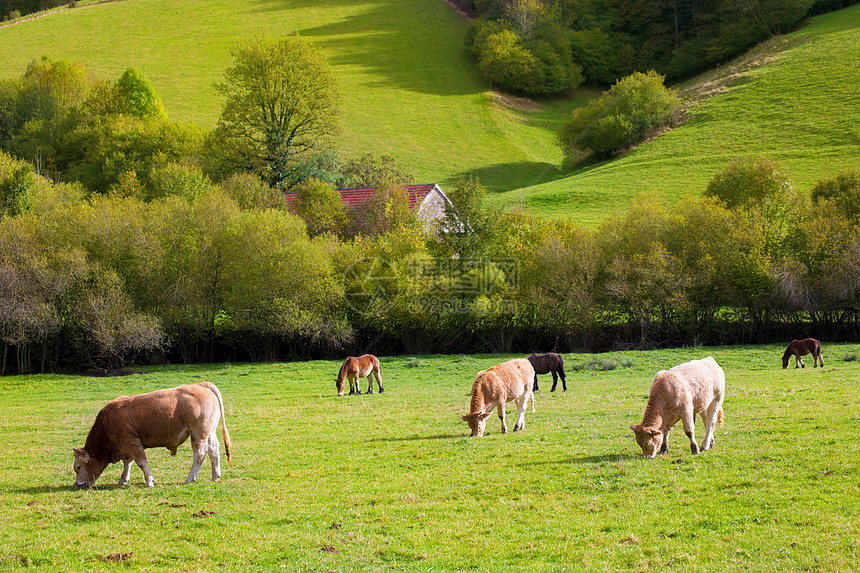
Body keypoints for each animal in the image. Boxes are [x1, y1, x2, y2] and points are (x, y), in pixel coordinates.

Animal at [73, 380, 232, 488]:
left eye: (78, 467)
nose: (77, 483)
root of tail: (201, 384)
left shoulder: (132, 443)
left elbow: (141, 462)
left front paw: (149, 481)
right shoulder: (127, 446)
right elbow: (128, 463)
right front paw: (123, 479)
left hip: (198, 432)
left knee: (200, 454)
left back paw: (190, 478)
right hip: (209, 431)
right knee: (213, 450)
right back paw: (215, 476)